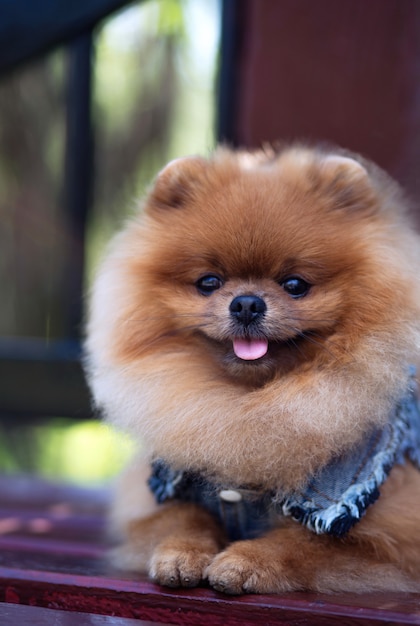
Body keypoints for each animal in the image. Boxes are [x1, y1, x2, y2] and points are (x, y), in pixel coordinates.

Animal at [84, 144, 420, 592]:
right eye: (208, 282)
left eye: (295, 285)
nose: (246, 303)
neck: (247, 402)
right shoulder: (155, 494)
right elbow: (179, 517)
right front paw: (181, 553)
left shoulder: (388, 538)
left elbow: (302, 542)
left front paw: (246, 562)